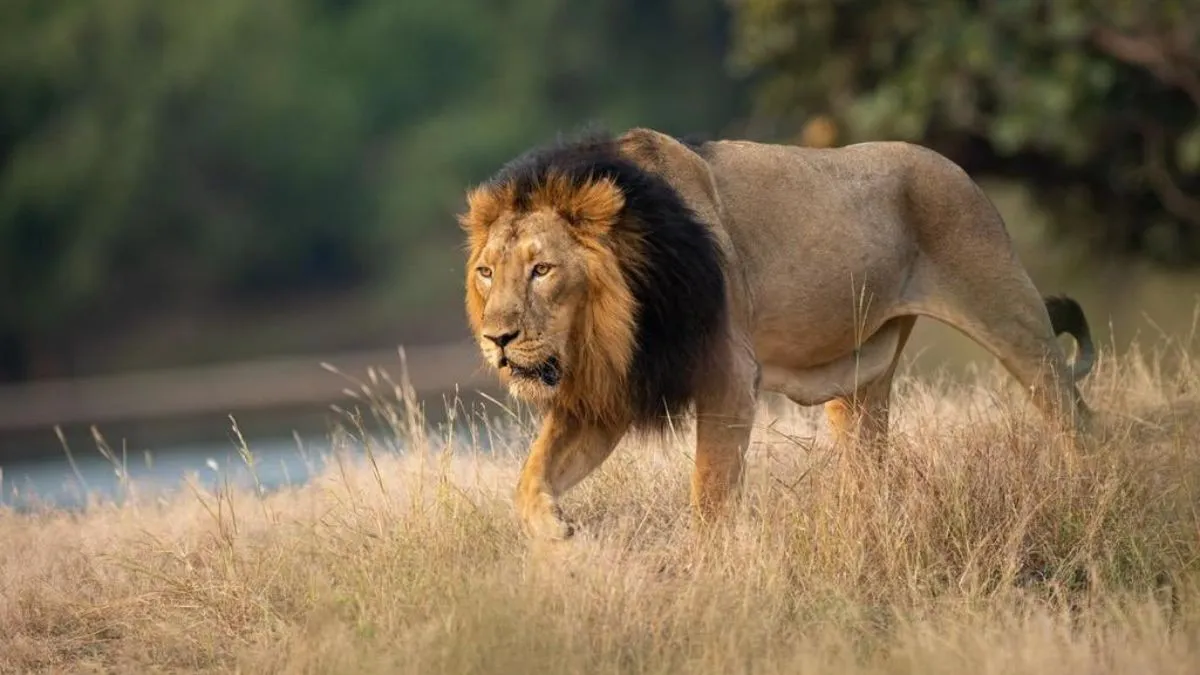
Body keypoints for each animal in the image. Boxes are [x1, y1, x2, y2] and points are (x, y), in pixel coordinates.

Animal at [458, 127, 1095, 540]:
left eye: (543, 269)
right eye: (487, 272)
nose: (498, 339)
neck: (621, 321)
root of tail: (954, 166)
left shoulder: (729, 377)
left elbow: (710, 495)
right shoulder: (608, 397)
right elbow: (529, 479)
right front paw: (557, 539)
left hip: (1010, 314)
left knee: (1077, 417)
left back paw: (1088, 496)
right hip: (861, 383)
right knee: (871, 468)